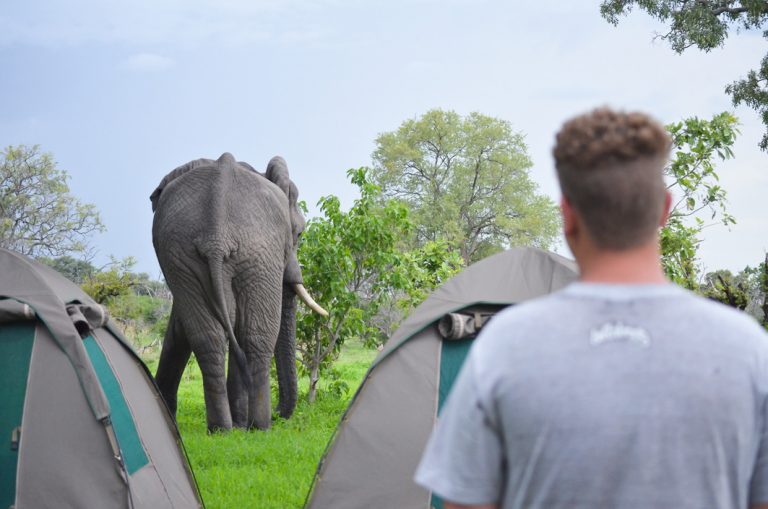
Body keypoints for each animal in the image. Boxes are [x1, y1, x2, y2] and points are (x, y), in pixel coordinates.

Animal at [150, 153, 328, 430]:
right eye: (299, 234)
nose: (280, 415)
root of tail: (216, 236)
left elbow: (179, 329)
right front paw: (245, 426)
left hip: (180, 252)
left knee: (208, 336)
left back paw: (222, 429)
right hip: (259, 252)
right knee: (257, 334)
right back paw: (258, 427)